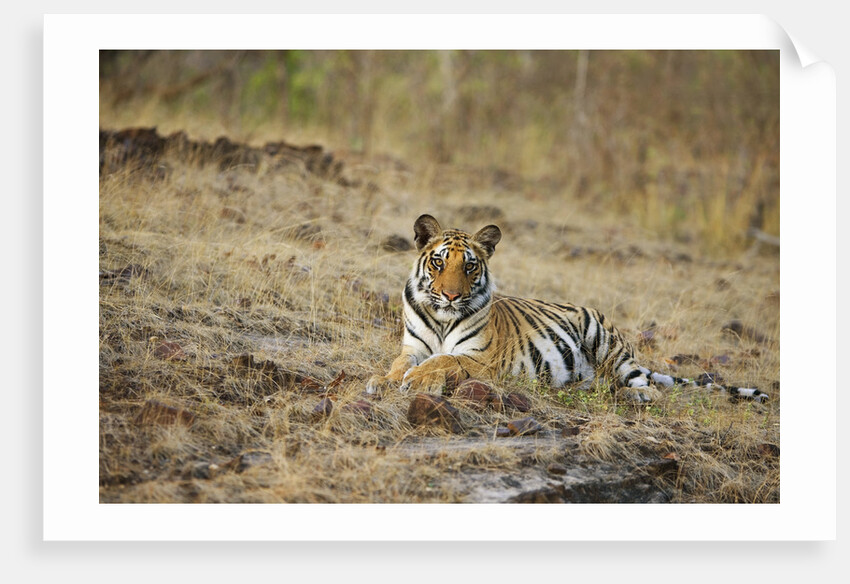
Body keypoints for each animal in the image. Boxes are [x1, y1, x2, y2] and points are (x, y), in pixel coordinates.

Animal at [366, 214, 768, 404]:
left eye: (469, 266)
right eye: (438, 262)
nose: (450, 295)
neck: (442, 319)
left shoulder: (482, 359)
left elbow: (446, 360)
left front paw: (418, 380)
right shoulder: (413, 346)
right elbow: (399, 363)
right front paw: (384, 380)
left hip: (605, 340)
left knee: (649, 389)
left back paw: (628, 394)